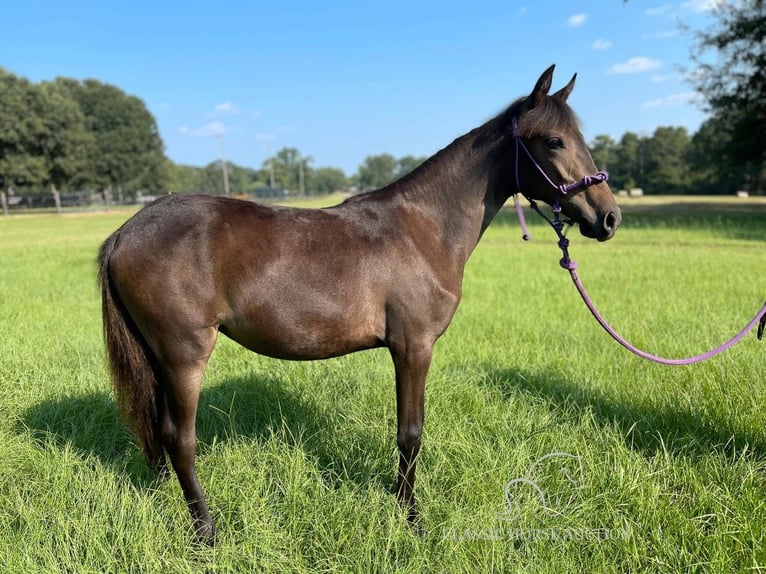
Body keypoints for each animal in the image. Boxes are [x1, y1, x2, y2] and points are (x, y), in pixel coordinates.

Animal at [97, 67, 624, 544]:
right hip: (184, 355)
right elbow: (410, 433)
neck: (424, 228)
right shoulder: (413, 347)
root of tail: (125, 232)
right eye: (554, 141)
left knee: (157, 431)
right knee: (180, 439)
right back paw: (206, 531)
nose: (609, 217)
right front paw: (411, 519)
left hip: (159, 358)